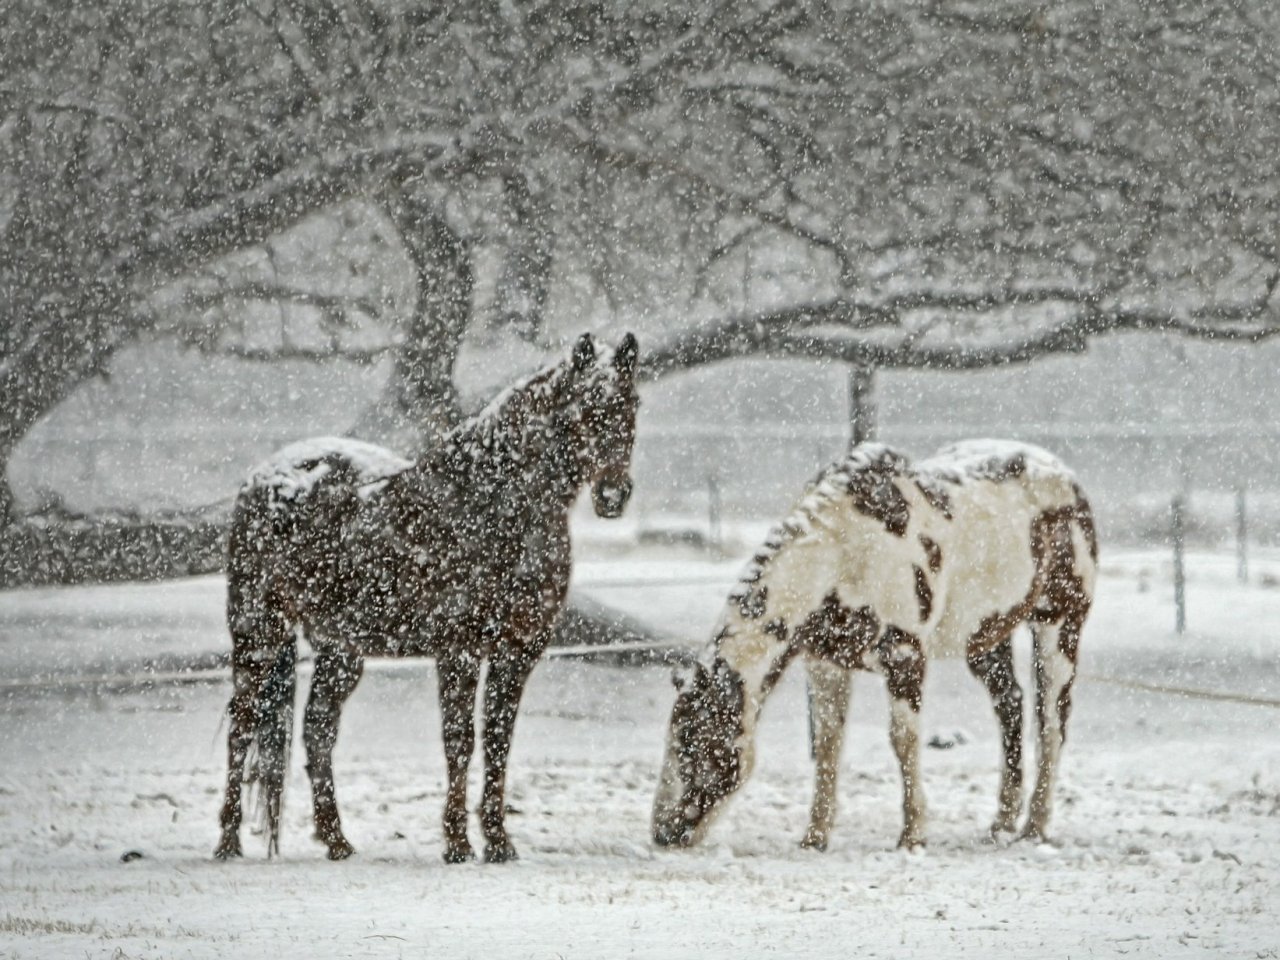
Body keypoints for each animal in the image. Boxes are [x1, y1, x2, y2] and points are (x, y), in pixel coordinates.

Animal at [217, 335, 650, 870]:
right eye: (583, 407)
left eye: (632, 404)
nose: (613, 495)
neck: (493, 504)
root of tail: (264, 478)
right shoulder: (459, 650)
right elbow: (460, 740)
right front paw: (458, 844)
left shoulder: (517, 651)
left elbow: (498, 740)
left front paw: (499, 841)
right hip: (258, 632)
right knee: (242, 724)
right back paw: (228, 842)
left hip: (340, 651)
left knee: (318, 730)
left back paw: (337, 840)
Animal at [655, 440, 1095, 855]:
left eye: (695, 744)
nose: (663, 833)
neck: (843, 551)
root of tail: (1067, 478)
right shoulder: (826, 664)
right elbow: (828, 744)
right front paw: (815, 838)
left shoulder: (904, 658)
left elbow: (903, 741)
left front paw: (913, 837)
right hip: (986, 638)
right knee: (1011, 706)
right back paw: (1001, 824)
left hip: (1059, 625)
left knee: (1052, 721)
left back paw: (1035, 827)